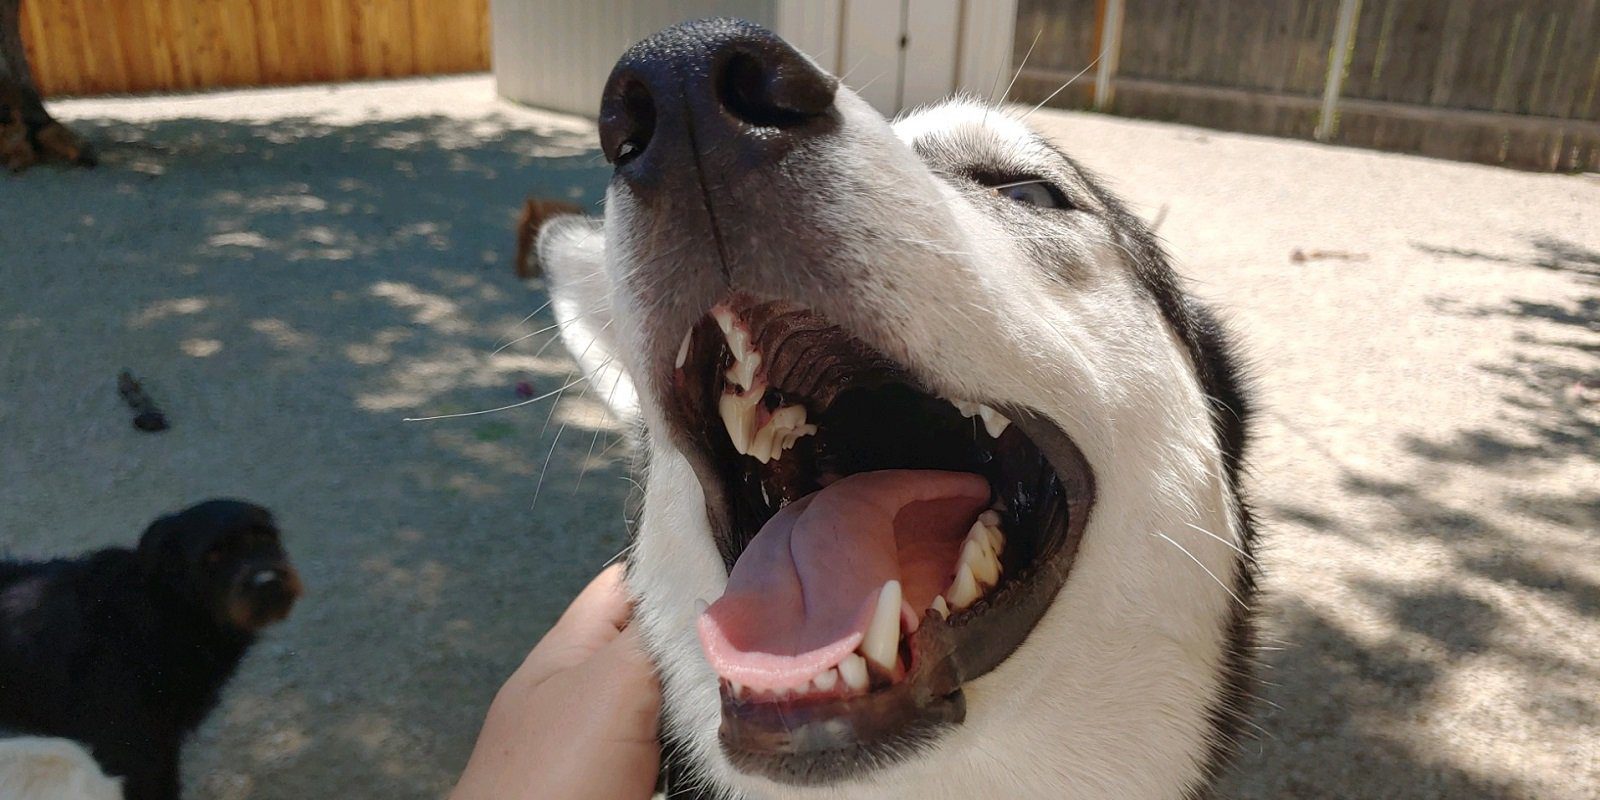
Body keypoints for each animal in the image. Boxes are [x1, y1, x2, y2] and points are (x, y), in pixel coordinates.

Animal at [0, 499, 302, 800]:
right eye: (213, 555)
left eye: (263, 537)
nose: (268, 582)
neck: (164, 608)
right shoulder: (132, 748)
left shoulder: (163, 742)